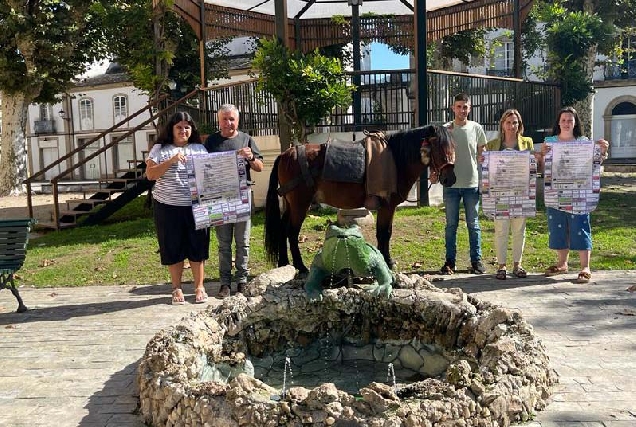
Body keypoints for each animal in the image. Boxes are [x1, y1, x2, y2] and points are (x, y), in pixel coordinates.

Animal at [264, 125, 458, 274]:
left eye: (453, 147)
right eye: (439, 147)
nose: (450, 179)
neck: (396, 159)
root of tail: (286, 154)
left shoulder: (388, 207)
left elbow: (386, 232)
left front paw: (386, 260)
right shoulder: (387, 206)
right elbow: (384, 233)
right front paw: (387, 261)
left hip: (290, 204)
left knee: (282, 229)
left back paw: (284, 264)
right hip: (300, 205)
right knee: (291, 232)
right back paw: (300, 266)